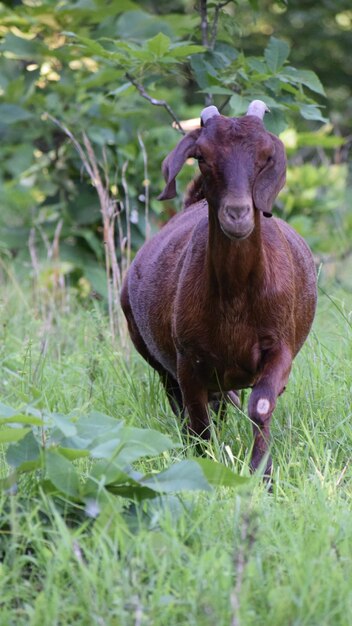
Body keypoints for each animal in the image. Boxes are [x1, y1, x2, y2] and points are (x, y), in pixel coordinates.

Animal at [120, 100, 316, 472]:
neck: (236, 297)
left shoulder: (279, 345)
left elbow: (260, 406)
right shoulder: (188, 360)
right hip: (156, 357)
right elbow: (198, 424)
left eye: (266, 156)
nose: (237, 214)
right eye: (203, 156)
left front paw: (262, 474)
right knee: (185, 408)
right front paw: (205, 468)